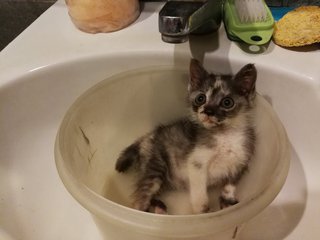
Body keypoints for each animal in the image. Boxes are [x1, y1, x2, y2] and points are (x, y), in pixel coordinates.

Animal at [114, 58, 255, 214]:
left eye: (227, 102)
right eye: (201, 98)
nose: (208, 111)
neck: (225, 134)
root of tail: (145, 138)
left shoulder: (241, 162)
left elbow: (231, 185)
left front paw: (227, 202)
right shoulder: (196, 163)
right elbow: (200, 193)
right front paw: (203, 212)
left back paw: (159, 207)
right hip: (155, 167)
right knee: (140, 199)